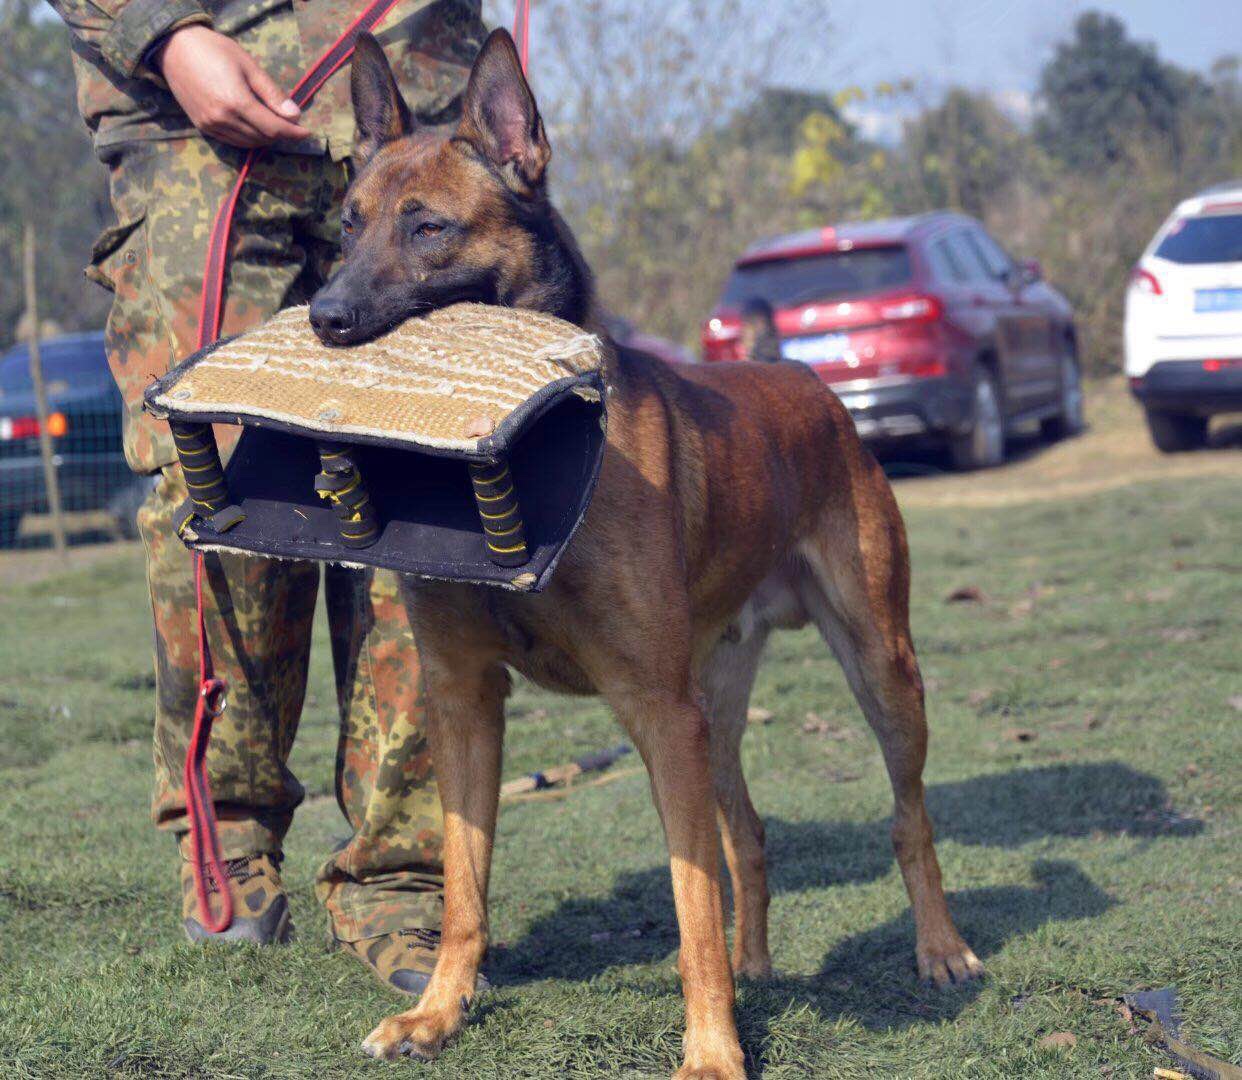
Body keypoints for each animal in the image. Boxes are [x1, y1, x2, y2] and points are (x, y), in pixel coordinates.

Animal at [308, 29, 978, 1077]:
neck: (531, 464)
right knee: (749, 836)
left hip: (878, 669)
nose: (325, 319)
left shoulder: (658, 715)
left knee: (908, 817)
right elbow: (465, 884)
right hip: (719, 710)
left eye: (429, 230)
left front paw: (710, 1051)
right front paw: (438, 1012)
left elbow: (688, 901)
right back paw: (755, 969)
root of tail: (804, 381)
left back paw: (939, 950)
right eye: (347, 225)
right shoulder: (467, 701)